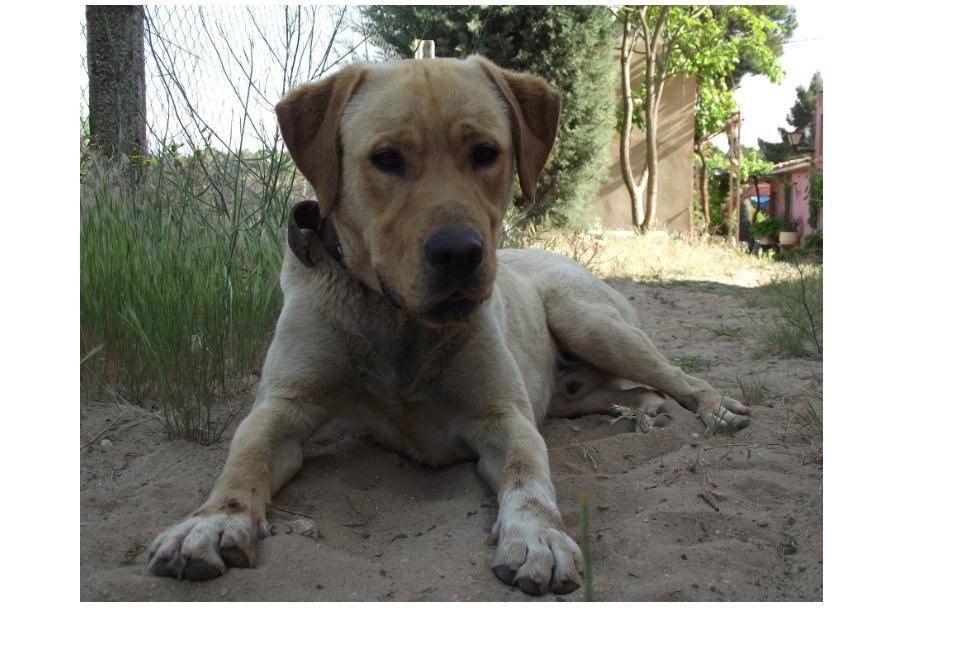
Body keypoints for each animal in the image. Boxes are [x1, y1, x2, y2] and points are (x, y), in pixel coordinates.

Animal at [147, 56, 750, 596]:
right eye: (386, 159)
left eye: (485, 153)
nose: (459, 253)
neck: (398, 321)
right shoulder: (283, 407)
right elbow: (243, 460)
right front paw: (213, 520)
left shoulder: (504, 417)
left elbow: (528, 475)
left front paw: (537, 536)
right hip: (574, 387)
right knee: (621, 392)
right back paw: (645, 411)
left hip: (589, 322)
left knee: (681, 379)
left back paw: (715, 409)